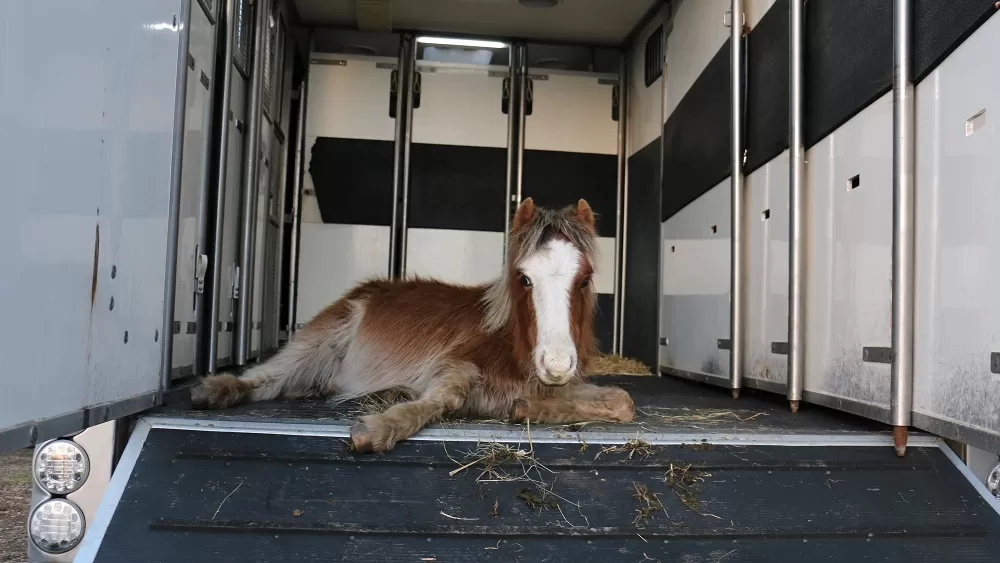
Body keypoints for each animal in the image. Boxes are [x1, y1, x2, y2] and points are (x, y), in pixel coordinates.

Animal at [190, 197, 636, 453]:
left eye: (585, 279)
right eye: (524, 278)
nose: (556, 365)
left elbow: (622, 401)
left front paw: (529, 408)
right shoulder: (452, 365)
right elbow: (447, 396)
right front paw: (381, 427)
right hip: (324, 336)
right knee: (270, 376)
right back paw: (216, 390)